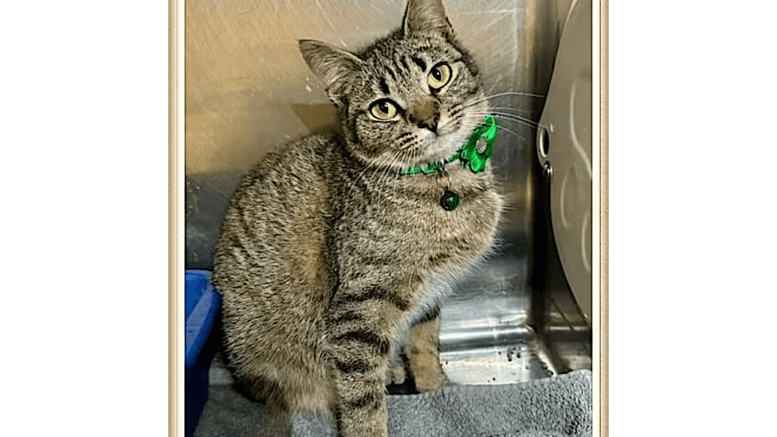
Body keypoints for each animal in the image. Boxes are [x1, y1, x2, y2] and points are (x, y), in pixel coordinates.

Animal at [212, 0, 504, 432]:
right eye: (384, 108)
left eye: (438, 74)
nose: (428, 119)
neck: (443, 183)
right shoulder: (358, 312)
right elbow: (363, 398)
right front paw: (371, 424)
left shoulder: (432, 293)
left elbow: (424, 344)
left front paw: (436, 388)